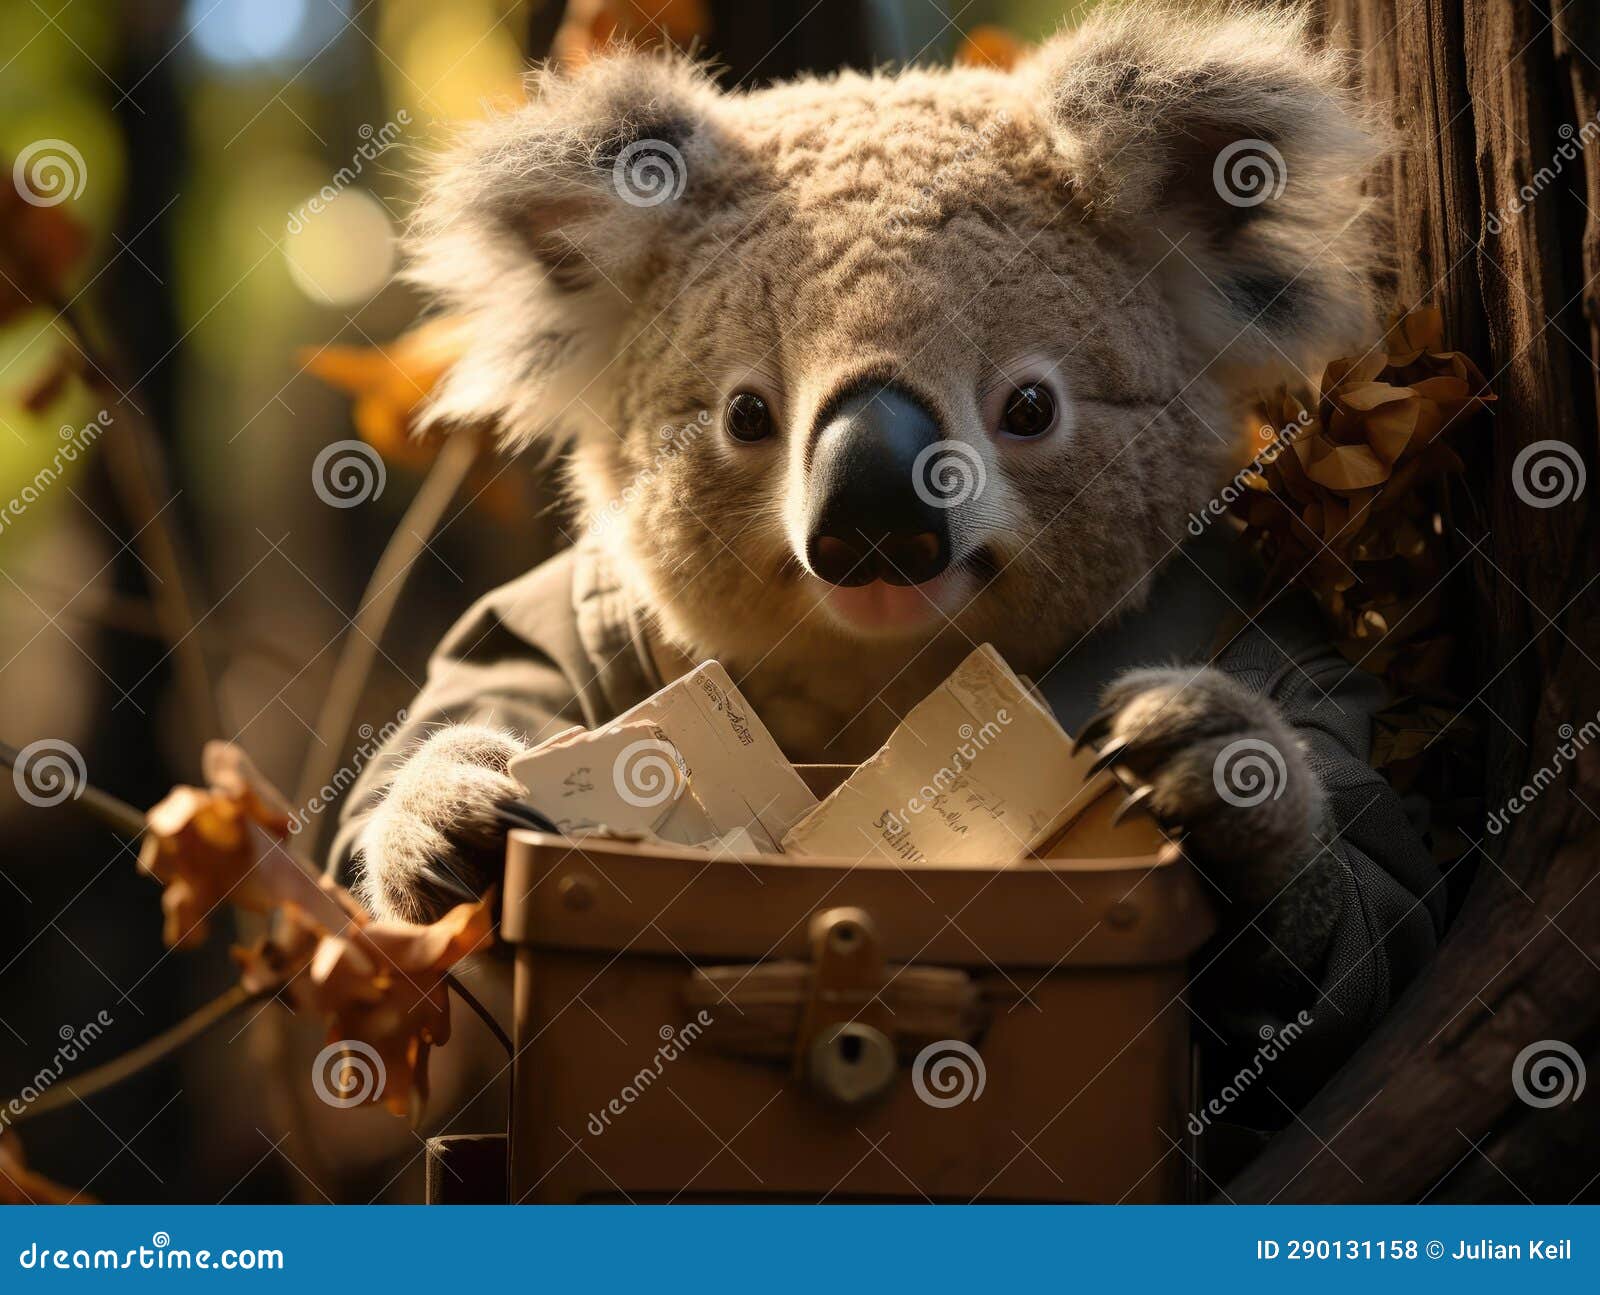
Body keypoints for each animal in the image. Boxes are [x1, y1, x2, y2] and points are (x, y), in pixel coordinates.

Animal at [332, 1, 1444, 1088]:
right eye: (745, 414)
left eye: (1030, 407)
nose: (873, 522)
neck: (884, 682)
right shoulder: (578, 616)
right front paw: (453, 814)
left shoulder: (1263, 629)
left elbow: (1377, 908)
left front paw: (1215, 769)